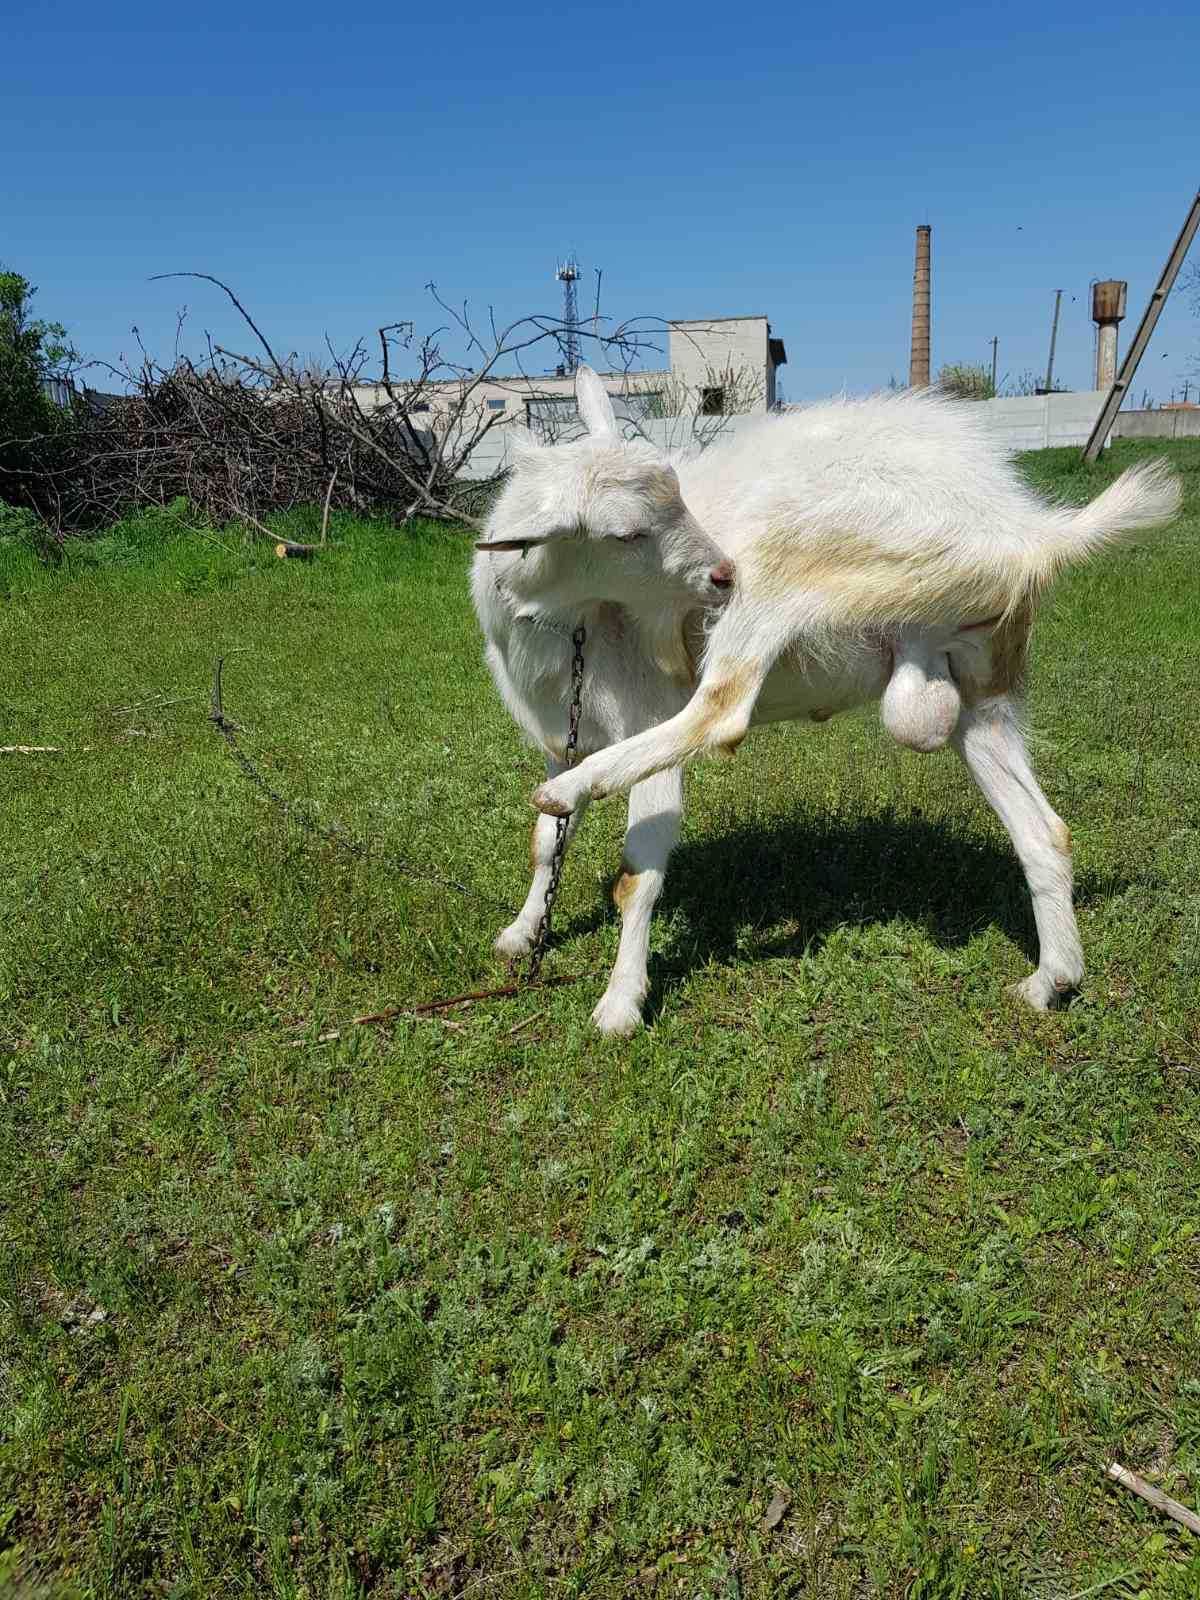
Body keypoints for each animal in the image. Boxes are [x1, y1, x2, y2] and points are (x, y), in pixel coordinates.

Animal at [473, 366, 1184, 1030]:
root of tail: (1019, 529)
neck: (569, 624)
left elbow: (637, 875)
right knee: (1043, 831)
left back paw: (577, 787)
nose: (720, 573)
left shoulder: (643, 716)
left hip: (785, 565)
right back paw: (1052, 980)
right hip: (982, 689)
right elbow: (546, 844)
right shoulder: (560, 735)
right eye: (625, 535)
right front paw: (521, 934)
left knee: (720, 711)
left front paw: (621, 1003)